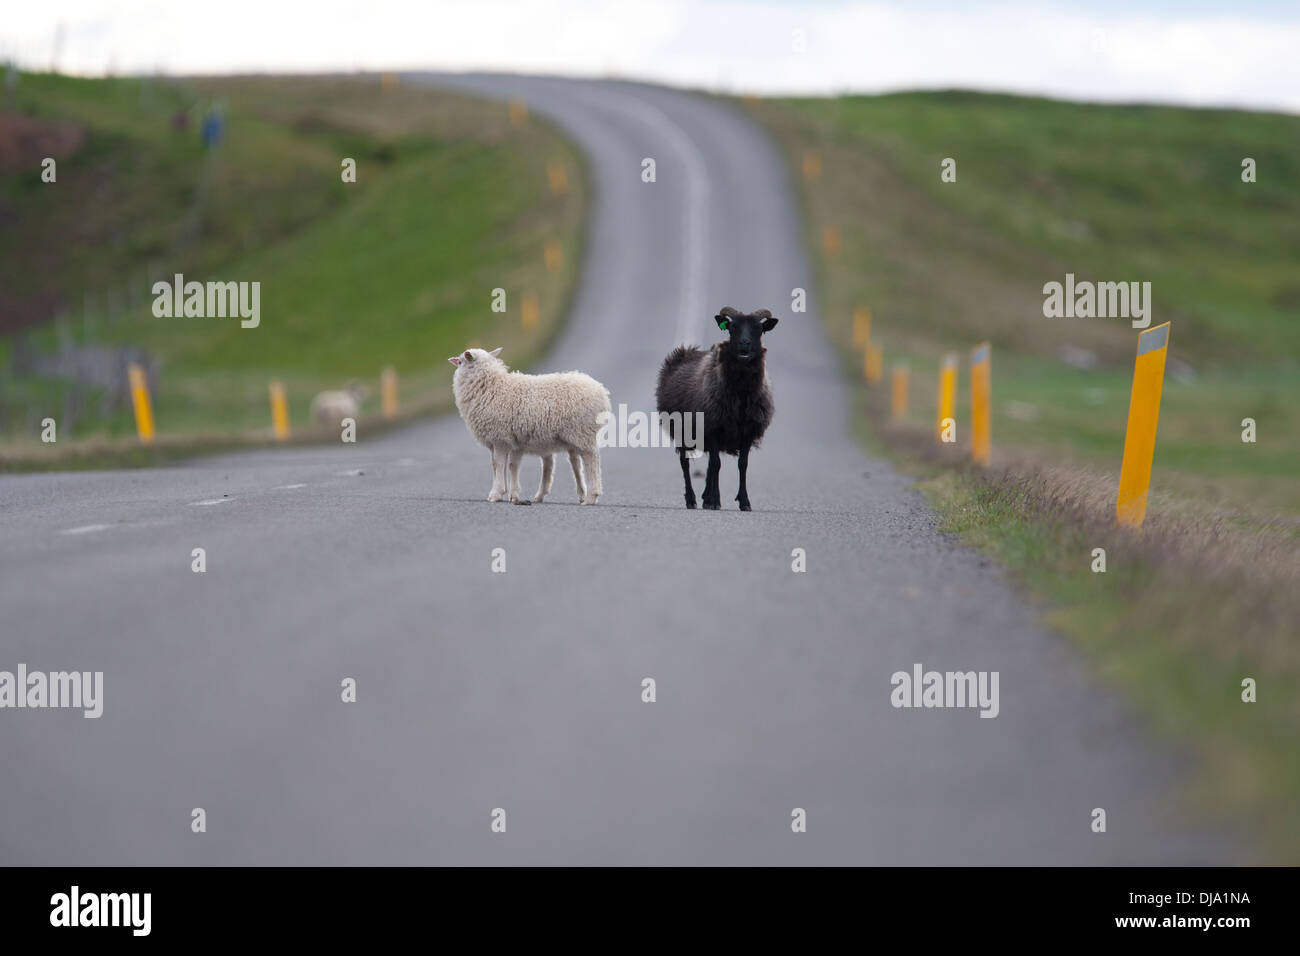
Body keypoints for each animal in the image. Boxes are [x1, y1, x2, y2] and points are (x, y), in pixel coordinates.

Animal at [447, 345, 608, 509]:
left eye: (460, 362)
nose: (456, 361)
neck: (490, 385)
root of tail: (601, 392)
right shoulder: (511, 441)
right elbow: (507, 465)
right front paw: (510, 494)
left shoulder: (499, 438)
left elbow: (498, 464)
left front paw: (496, 494)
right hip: (574, 437)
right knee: (575, 463)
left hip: (582, 432)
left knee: (591, 460)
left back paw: (591, 497)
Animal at [655, 308, 774, 512]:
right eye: (732, 328)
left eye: (759, 330)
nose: (744, 344)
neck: (740, 394)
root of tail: (686, 350)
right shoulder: (713, 428)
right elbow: (716, 464)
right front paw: (715, 501)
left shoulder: (747, 432)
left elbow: (742, 465)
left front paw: (744, 501)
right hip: (682, 432)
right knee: (686, 464)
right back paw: (692, 500)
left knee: (709, 465)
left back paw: (705, 497)